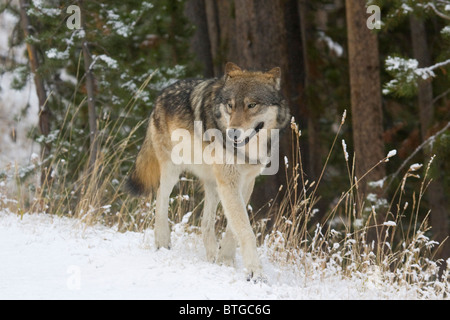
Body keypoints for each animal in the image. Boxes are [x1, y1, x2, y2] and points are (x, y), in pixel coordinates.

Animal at [125, 62, 290, 280]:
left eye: (251, 105)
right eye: (230, 105)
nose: (232, 133)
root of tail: (160, 97)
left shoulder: (246, 181)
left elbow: (233, 229)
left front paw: (226, 260)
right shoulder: (229, 181)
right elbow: (245, 230)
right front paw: (255, 272)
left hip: (213, 184)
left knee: (205, 222)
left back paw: (212, 255)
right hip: (172, 170)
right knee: (160, 197)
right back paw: (162, 241)